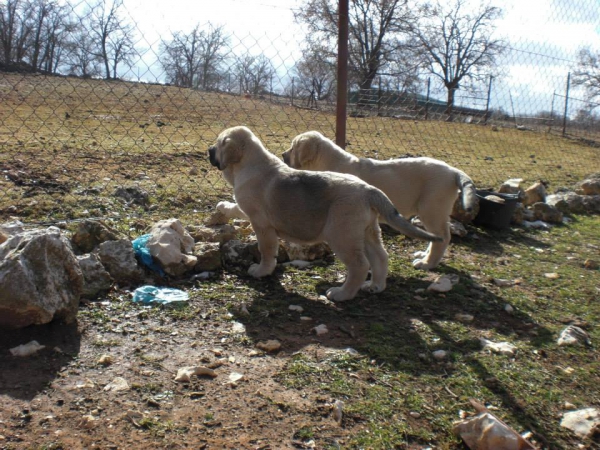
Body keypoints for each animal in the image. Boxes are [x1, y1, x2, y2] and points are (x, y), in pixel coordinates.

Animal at [207, 125, 440, 302]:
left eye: (218, 143)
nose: (209, 149)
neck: (248, 164)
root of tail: (368, 190)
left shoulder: (261, 224)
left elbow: (266, 249)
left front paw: (262, 271)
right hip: (367, 232)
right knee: (381, 257)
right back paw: (375, 286)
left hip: (342, 235)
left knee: (360, 265)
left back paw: (342, 294)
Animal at [282, 132, 478, 268]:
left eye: (293, 147)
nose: (283, 155)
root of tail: (453, 171)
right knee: (436, 237)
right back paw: (423, 256)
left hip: (431, 208)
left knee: (443, 237)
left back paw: (427, 263)